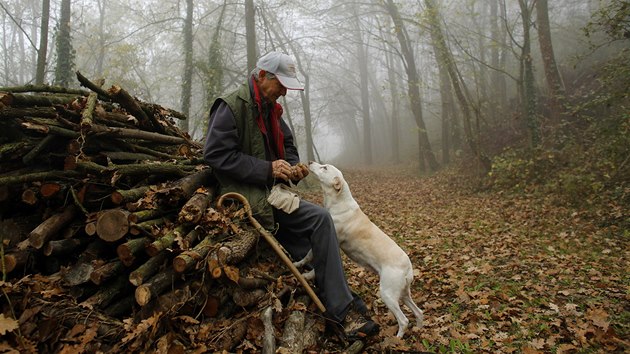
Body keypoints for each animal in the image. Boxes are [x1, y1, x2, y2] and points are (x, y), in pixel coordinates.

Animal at [296, 161, 424, 338]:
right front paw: (299, 265)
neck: (338, 202)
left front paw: (306, 273)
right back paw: (419, 329)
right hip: (404, 294)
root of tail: (409, 268)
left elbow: (314, 258)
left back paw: (397, 339)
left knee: (404, 320)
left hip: (387, 294)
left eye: (325, 168)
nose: (310, 162)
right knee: (419, 312)